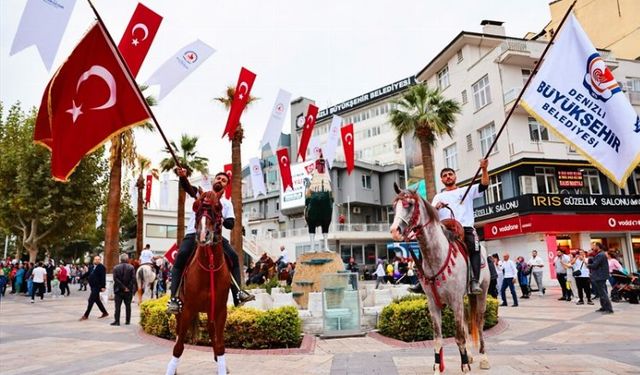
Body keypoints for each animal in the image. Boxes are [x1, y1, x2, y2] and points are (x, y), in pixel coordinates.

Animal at [166, 194, 231, 375]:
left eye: (217, 208)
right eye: (196, 208)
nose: (203, 234)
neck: (209, 267)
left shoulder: (220, 310)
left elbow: (220, 344)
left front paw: (221, 365)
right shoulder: (187, 309)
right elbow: (178, 346)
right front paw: (171, 369)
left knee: (212, 332)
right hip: (181, 311)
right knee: (177, 336)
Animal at [390, 184, 490, 374]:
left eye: (409, 204)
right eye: (394, 207)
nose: (394, 231)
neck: (436, 255)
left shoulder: (456, 300)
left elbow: (459, 337)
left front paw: (464, 366)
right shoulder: (433, 304)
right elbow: (437, 339)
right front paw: (438, 367)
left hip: (481, 292)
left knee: (479, 323)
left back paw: (483, 357)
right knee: (466, 322)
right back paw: (470, 356)